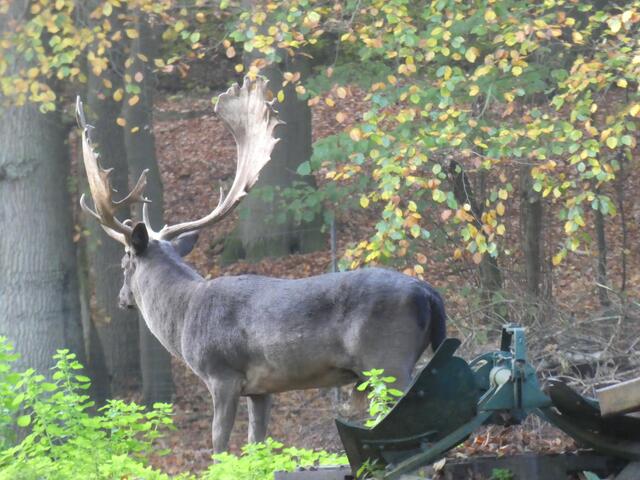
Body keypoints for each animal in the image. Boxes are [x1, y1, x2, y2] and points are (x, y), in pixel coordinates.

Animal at [76, 76, 447, 453]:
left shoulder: (221, 374)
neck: (183, 319)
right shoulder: (261, 389)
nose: (122, 298)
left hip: (387, 359)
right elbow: (257, 443)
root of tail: (429, 294)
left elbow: (220, 445)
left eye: (125, 262)